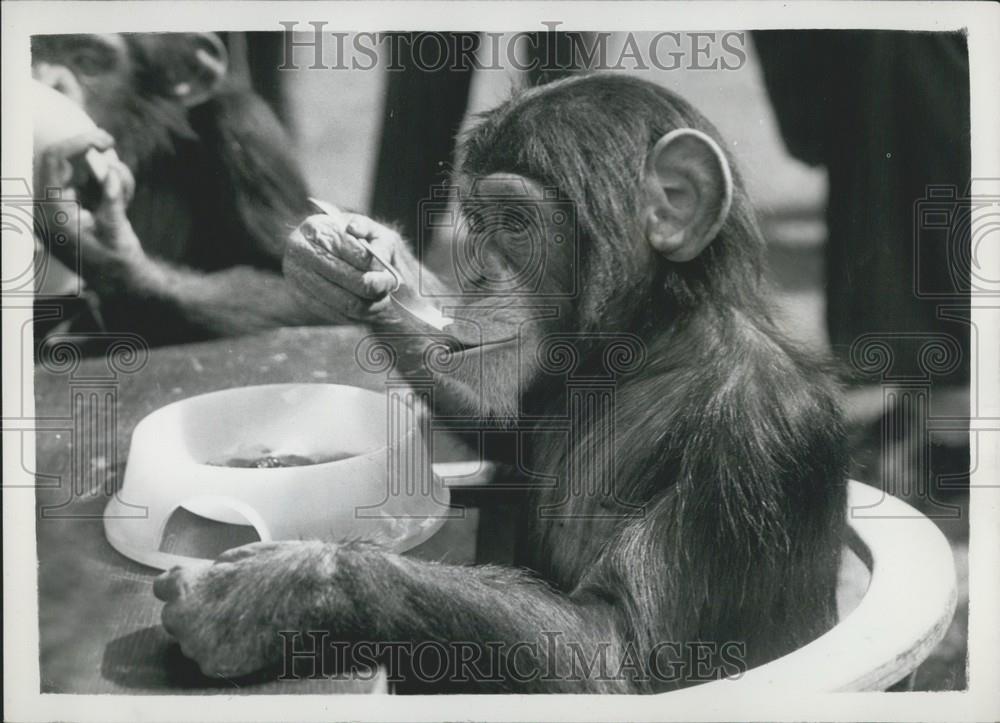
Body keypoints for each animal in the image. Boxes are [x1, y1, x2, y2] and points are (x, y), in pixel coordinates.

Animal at [31, 33, 322, 346]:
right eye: (33, 52)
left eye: (87, 62)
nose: (47, 83)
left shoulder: (247, 129)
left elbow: (300, 283)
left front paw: (109, 250)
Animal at [154, 74, 848, 693]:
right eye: (481, 221)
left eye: (514, 222)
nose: (481, 274)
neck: (653, 344)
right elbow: (498, 424)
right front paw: (356, 259)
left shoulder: (756, 439)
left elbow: (615, 654)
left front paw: (268, 591)